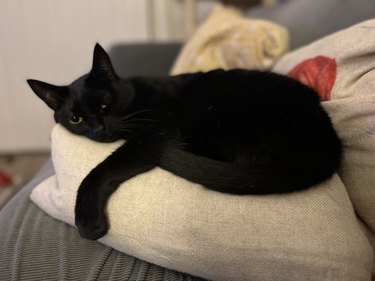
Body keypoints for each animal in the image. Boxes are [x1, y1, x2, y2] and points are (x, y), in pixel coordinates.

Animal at [27, 43, 344, 238]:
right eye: (76, 119)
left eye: (105, 104)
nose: (98, 129)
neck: (136, 97)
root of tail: (327, 140)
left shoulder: (155, 134)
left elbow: (101, 170)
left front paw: (87, 221)